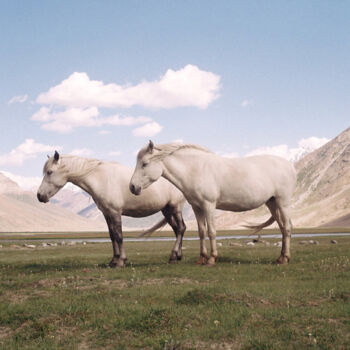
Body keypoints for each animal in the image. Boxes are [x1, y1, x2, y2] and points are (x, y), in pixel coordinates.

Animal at [36, 152, 186, 266]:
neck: (101, 179)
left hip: (175, 207)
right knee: (177, 229)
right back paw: (178, 256)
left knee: (181, 228)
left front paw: (121, 261)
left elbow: (119, 236)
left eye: (49, 172)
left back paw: (173, 256)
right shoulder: (107, 213)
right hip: (167, 210)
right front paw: (114, 260)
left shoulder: (115, 213)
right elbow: (112, 235)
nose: (39, 196)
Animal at [129, 141, 296, 266]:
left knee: (287, 228)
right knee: (282, 227)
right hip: (272, 203)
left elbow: (211, 232)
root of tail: (289, 166)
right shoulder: (197, 207)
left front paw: (211, 258)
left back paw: (285, 259)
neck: (195, 169)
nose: (132, 187)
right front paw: (201, 258)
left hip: (283, 203)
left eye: (144, 164)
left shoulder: (209, 205)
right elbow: (202, 232)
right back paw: (281, 257)